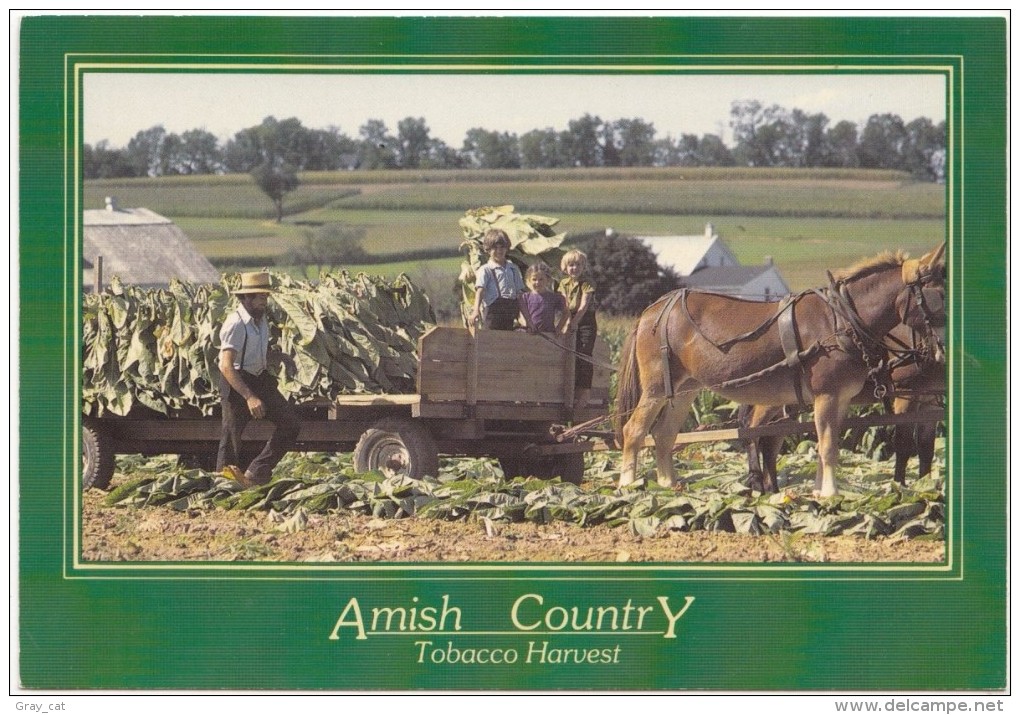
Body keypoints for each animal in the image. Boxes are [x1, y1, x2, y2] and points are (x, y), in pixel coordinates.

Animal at [607, 242, 942, 493]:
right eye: (938, 294)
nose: (943, 350)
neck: (840, 322)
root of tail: (652, 309)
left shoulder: (842, 399)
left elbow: (826, 443)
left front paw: (820, 492)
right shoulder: (829, 395)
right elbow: (830, 446)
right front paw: (831, 494)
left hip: (685, 389)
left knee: (664, 434)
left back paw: (669, 486)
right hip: (656, 387)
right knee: (634, 431)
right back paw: (628, 485)